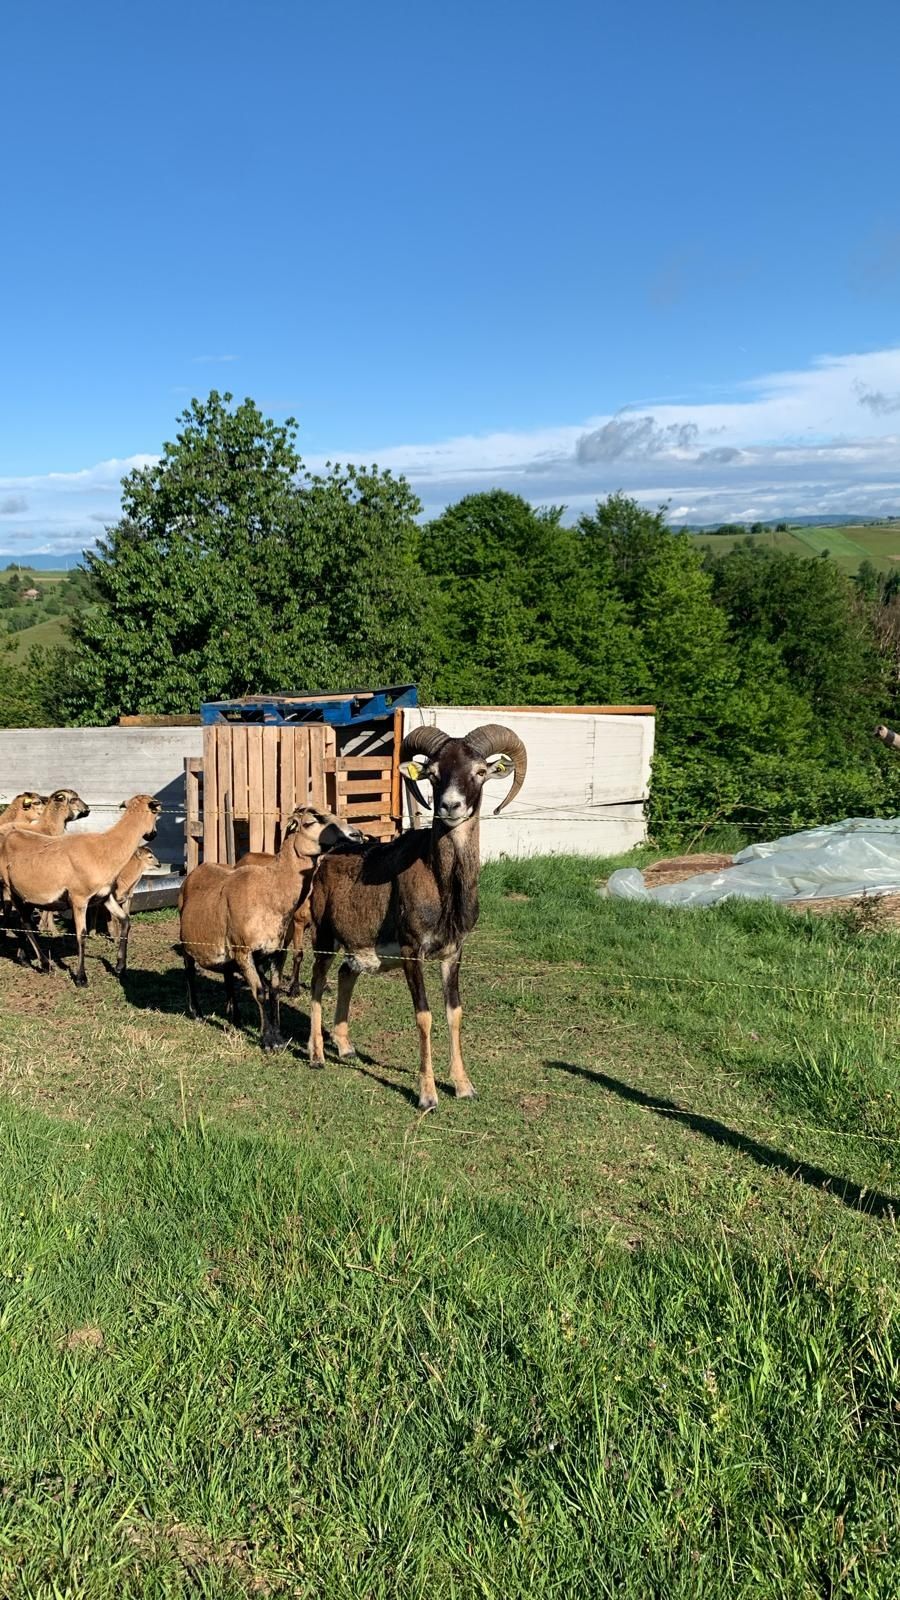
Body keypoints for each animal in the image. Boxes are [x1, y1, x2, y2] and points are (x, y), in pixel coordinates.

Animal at [304, 729, 522, 1113]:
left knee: (346, 975)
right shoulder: (412, 952)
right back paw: (317, 1056)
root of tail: (326, 859)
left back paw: (345, 1047)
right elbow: (424, 1015)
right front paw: (427, 1096)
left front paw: (464, 1087)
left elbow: (454, 1013)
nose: (450, 806)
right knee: (317, 985)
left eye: (480, 771)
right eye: (433, 774)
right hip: (325, 939)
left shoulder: (453, 953)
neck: (443, 884)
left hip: (359, 948)